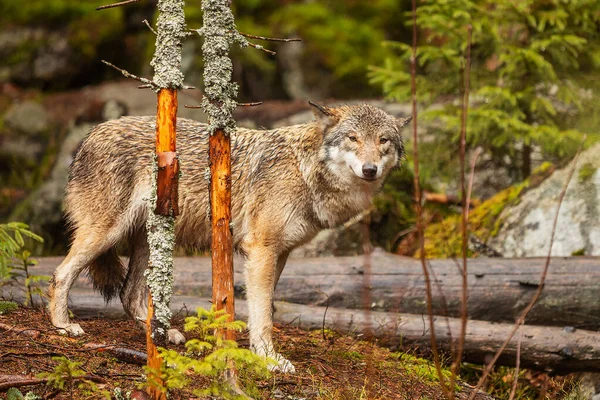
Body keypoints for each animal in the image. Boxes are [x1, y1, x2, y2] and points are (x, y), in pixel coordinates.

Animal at [49, 101, 410, 374]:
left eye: (383, 141)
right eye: (352, 138)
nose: (370, 170)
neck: (306, 170)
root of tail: (90, 134)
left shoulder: (280, 254)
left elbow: (266, 308)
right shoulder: (261, 250)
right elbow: (263, 316)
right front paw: (269, 359)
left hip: (150, 241)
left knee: (129, 294)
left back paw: (162, 335)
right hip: (106, 233)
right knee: (60, 274)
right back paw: (63, 325)